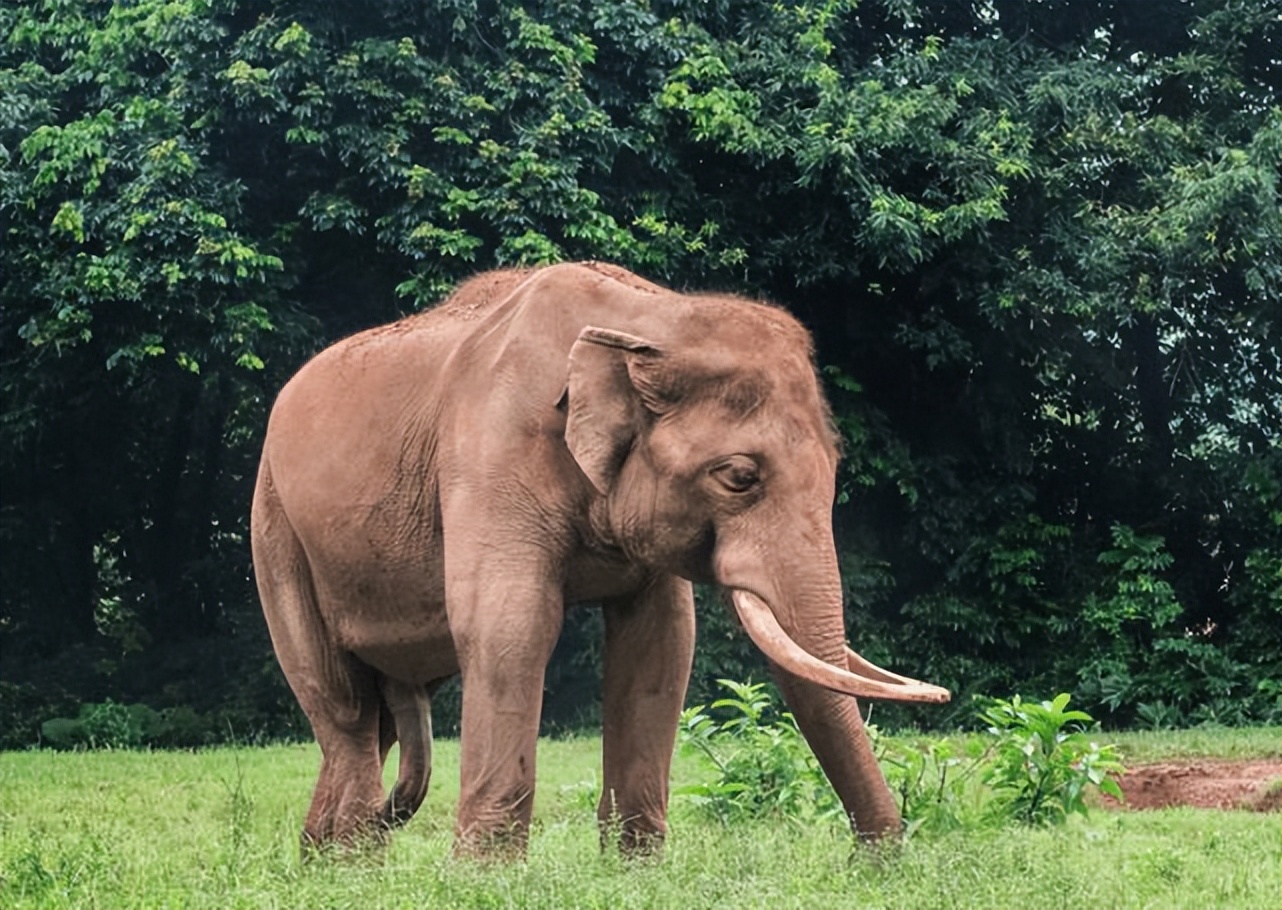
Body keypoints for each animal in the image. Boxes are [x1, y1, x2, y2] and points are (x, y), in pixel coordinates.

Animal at [252, 260, 953, 861]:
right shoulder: (491, 454)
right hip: (274, 530)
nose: (873, 862)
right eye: (739, 477)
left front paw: (633, 869)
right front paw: (484, 877)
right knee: (342, 704)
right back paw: (352, 864)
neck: (652, 319)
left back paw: (321, 861)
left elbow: (661, 643)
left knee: (377, 716)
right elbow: (510, 625)